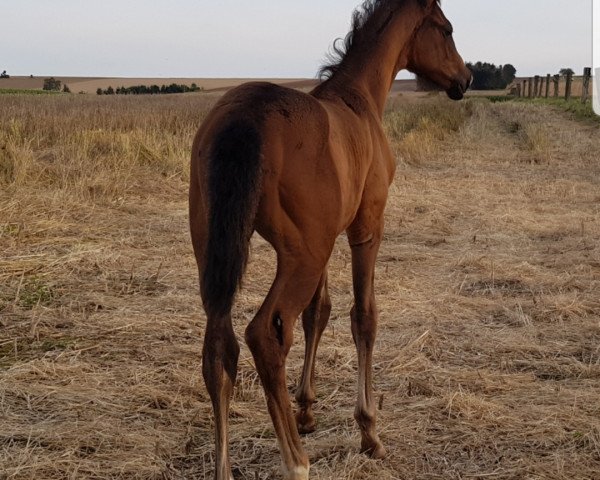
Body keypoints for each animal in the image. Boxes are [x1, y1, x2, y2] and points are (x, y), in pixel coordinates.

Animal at [190, 1, 472, 478]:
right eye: (447, 29)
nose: (464, 79)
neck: (358, 101)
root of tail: (245, 116)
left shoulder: (326, 239)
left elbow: (317, 314)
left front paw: (305, 410)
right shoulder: (365, 229)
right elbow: (364, 317)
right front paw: (369, 431)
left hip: (221, 253)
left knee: (220, 347)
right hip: (302, 256)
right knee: (265, 335)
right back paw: (296, 462)